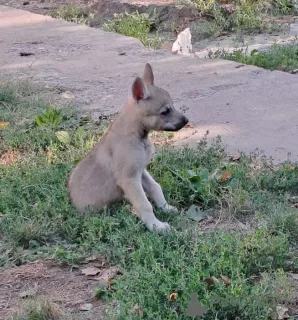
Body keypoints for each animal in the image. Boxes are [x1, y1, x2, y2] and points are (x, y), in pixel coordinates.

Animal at [67, 63, 189, 232]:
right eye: (165, 111)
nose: (186, 120)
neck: (136, 135)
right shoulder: (129, 179)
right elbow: (144, 204)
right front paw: (156, 226)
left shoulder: (141, 171)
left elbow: (156, 187)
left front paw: (166, 207)